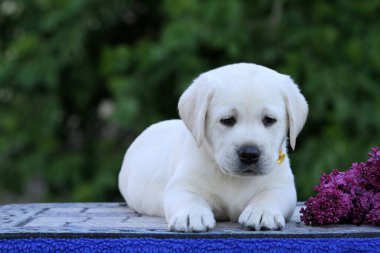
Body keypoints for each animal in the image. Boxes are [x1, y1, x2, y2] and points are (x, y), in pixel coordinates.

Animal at [119, 62, 308, 231]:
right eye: (227, 120)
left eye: (269, 120)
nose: (249, 153)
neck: (234, 179)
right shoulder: (182, 184)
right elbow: (188, 198)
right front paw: (191, 214)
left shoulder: (282, 187)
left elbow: (269, 196)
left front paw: (262, 212)